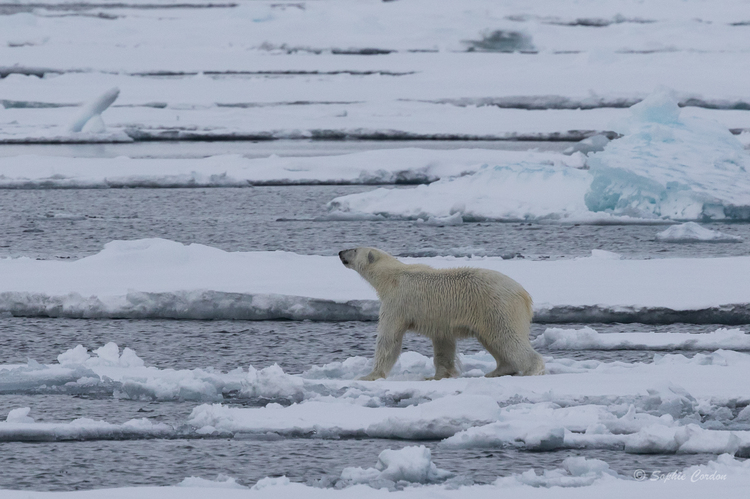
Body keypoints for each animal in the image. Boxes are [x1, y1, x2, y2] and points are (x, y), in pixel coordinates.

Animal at [340, 248, 548, 380]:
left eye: (354, 249)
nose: (340, 252)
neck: (392, 277)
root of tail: (524, 294)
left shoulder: (397, 302)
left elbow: (389, 339)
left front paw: (370, 375)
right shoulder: (440, 319)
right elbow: (443, 342)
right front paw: (439, 375)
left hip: (497, 306)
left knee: (507, 337)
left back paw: (532, 369)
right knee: (494, 340)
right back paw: (497, 371)